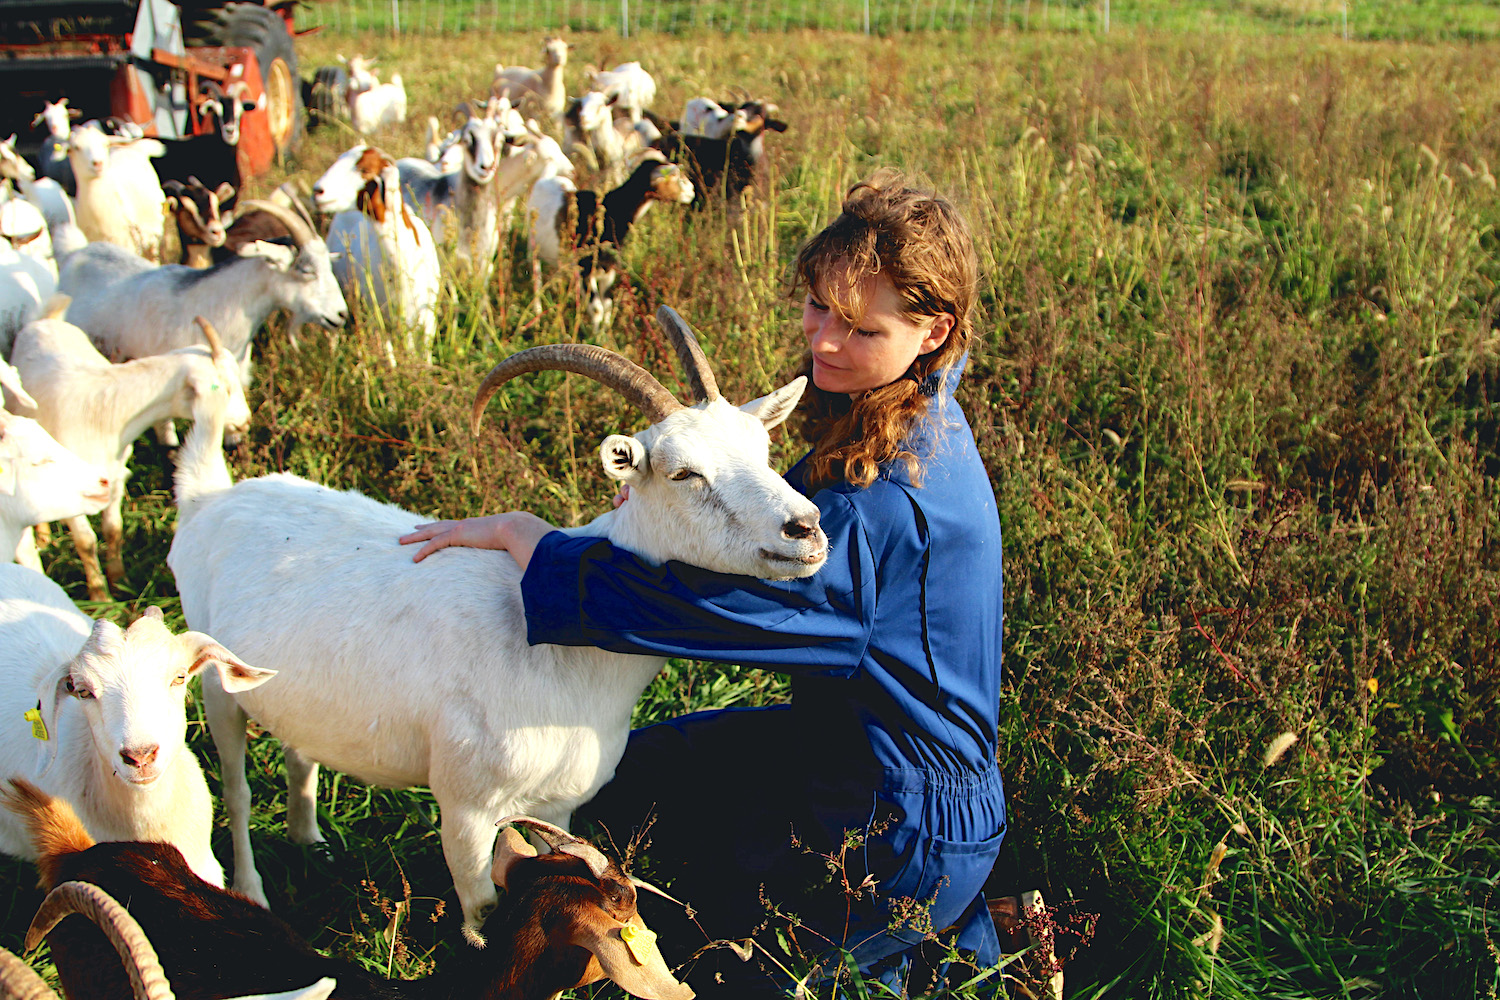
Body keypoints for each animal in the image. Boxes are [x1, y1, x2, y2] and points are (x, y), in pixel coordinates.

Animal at [11, 308, 250, 599]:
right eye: (225, 388)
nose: (245, 421)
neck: (108, 411)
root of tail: (46, 319)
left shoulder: (114, 479)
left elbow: (113, 529)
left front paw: (119, 581)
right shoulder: (71, 491)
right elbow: (86, 541)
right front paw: (100, 596)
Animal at [172, 310, 834, 941]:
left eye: (764, 453)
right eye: (683, 473)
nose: (805, 529)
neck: (556, 654)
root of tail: (208, 500)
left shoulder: (558, 804)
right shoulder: (465, 805)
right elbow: (482, 909)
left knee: (298, 750)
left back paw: (310, 839)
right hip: (215, 682)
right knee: (235, 790)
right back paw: (252, 892)